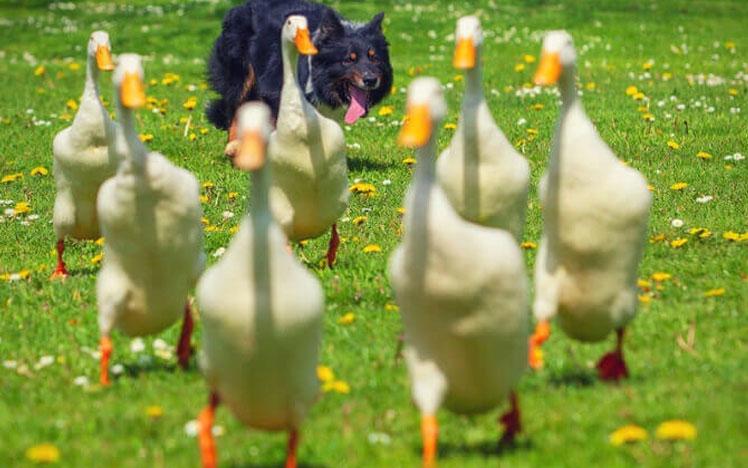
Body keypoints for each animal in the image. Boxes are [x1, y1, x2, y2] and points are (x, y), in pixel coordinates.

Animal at [205, 0, 392, 135]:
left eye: (374, 58)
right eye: (348, 60)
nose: (370, 80)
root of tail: (240, 7)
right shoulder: (274, 92)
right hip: (240, 77)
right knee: (234, 109)